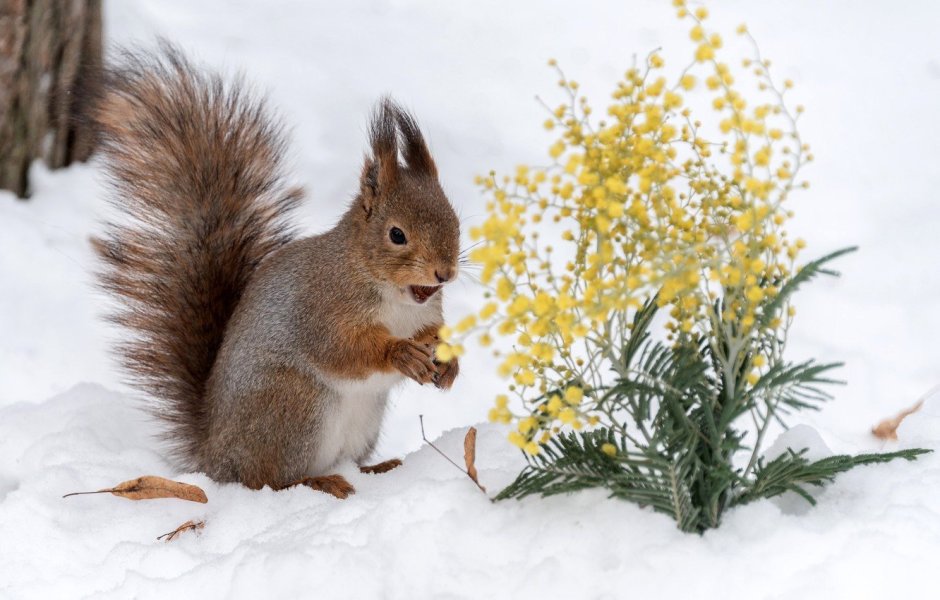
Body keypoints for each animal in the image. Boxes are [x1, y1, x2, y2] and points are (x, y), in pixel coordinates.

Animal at [93, 44, 460, 500]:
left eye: (454, 219)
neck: (394, 296)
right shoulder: (322, 308)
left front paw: (450, 363)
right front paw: (400, 353)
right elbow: (342, 350)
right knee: (266, 480)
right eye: (397, 234)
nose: (444, 274)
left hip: (361, 419)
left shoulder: (428, 314)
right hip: (294, 407)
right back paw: (319, 481)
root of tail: (214, 457)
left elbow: (436, 332)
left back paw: (378, 468)